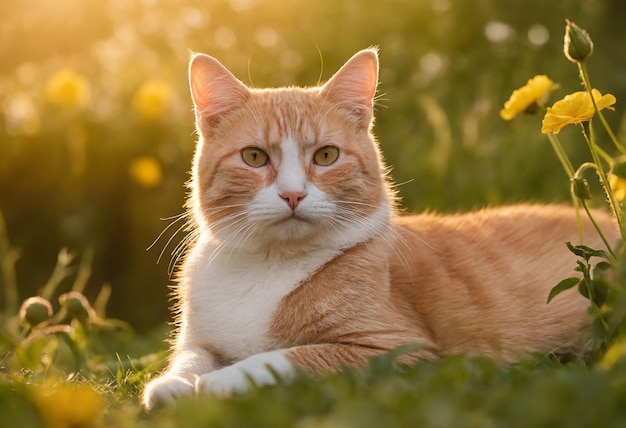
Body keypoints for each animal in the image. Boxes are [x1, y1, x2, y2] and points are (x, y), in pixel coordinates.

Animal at [140, 48, 616, 410]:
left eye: (326, 155)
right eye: (254, 157)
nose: (293, 195)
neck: (267, 268)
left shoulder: (396, 351)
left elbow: (289, 356)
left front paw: (223, 381)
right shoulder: (200, 341)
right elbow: (188, 359)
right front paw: (172, 384)